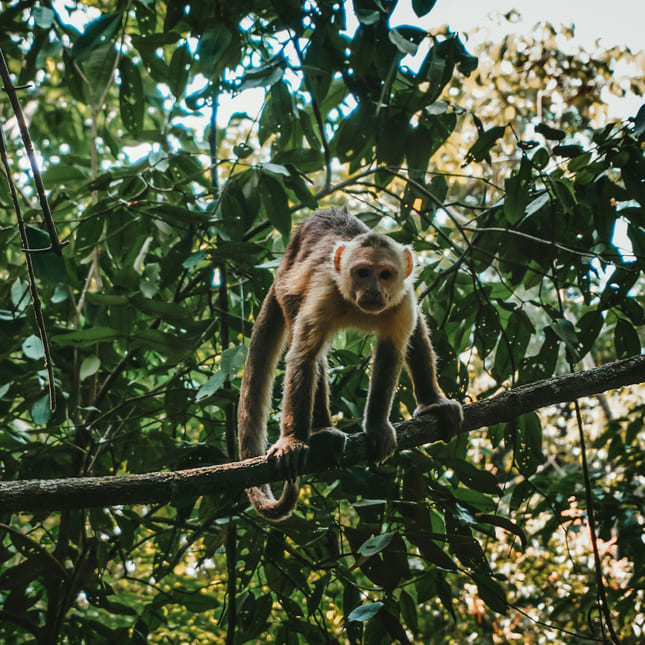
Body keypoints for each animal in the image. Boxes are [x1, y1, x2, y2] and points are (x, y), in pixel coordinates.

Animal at [238, 209, 462, 520]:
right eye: (363, 273)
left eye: (385, 275)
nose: (372, 291)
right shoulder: (326, 292)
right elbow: (304, 357)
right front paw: (292, 441)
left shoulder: (401, 298)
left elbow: (392, 351)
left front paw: (377, 427)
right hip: (287, 291)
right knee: (311, 351)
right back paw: (321, 433)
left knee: (416, 330)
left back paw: (433, 402)